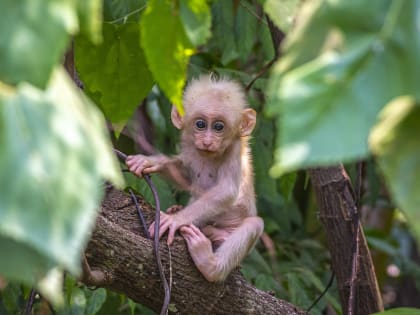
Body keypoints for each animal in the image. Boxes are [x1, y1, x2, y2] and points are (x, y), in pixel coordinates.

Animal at [126, 75, 262, 282]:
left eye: (219, 127)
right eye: (200, 124)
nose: (207, 141)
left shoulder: (235, 149)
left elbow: (228, 190)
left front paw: (175, 220)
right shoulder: (189, 144)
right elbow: (186, 177)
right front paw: (150, 161)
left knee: (254, 224)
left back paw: (210, 264)